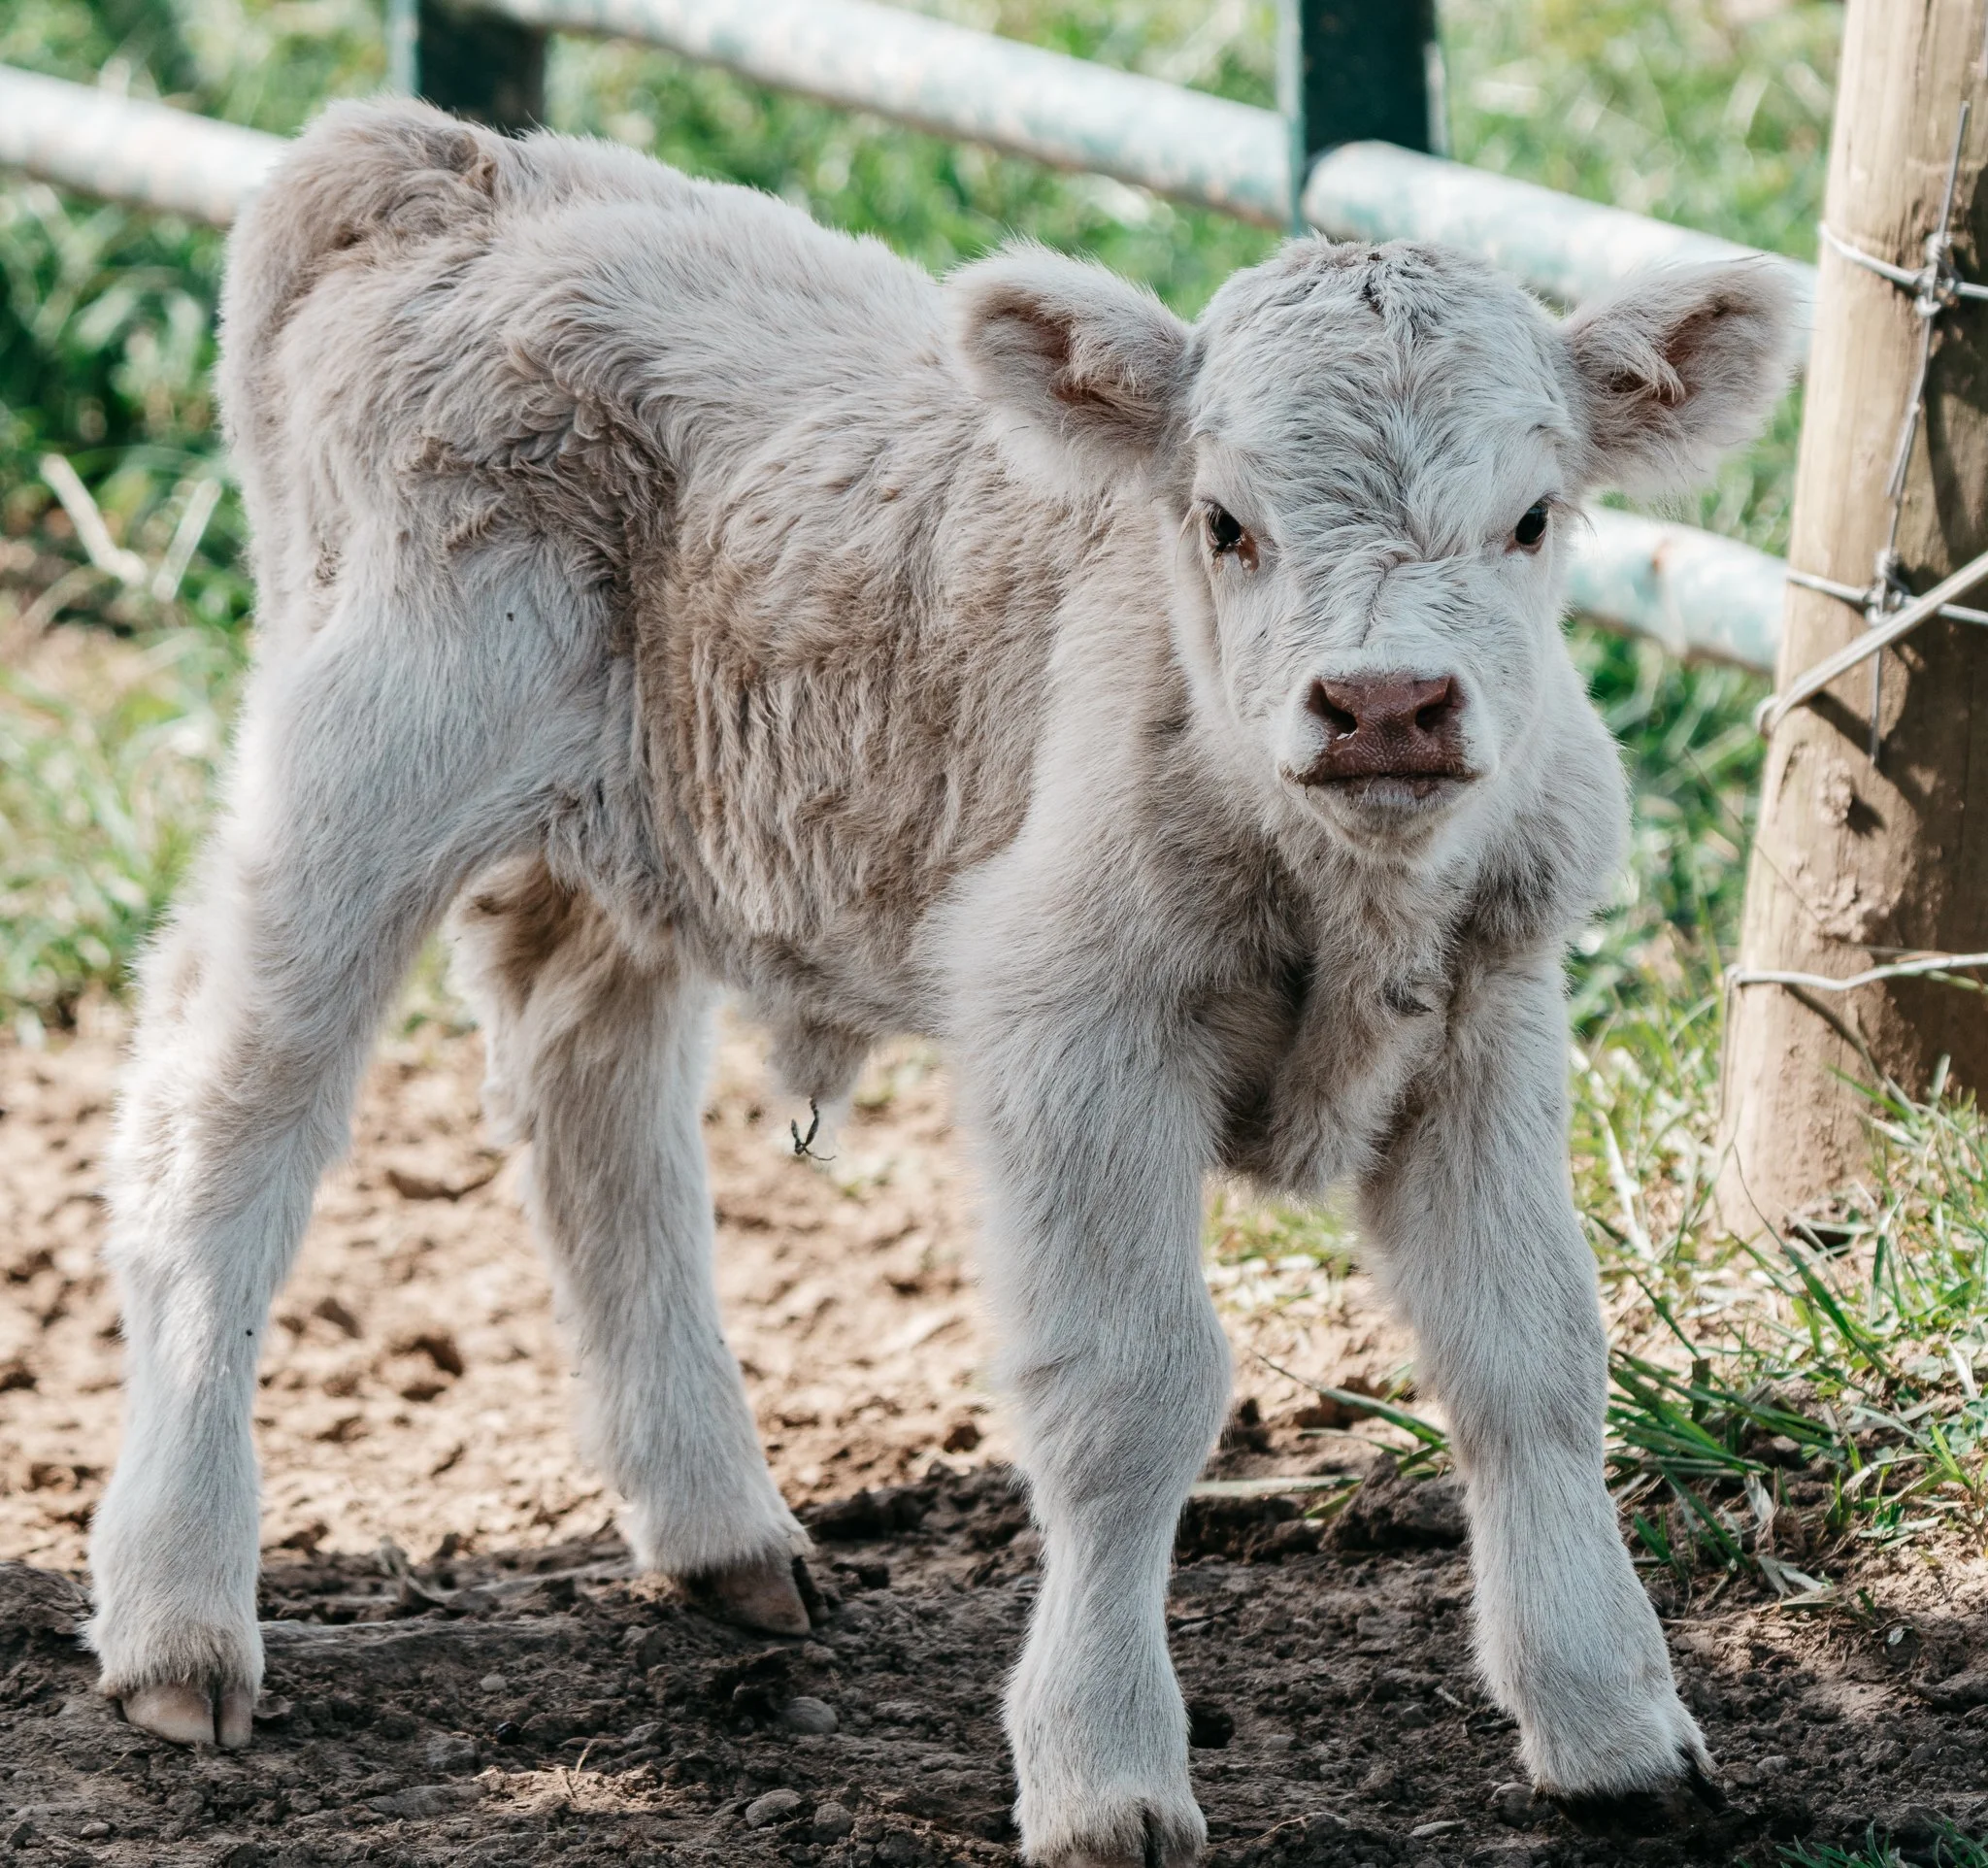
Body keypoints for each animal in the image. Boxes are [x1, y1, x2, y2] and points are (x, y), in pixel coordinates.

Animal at [83, 99, 1794, 1866]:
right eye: (1223, 520)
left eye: (1532, 518)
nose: (1386, 703)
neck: (1340, 882)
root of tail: (452, 163)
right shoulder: (1073, 1028)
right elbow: (1128, 1393)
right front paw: (1106, 1772)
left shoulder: (1485, 1016)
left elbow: (1530, 1356)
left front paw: (1613, 1724)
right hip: (361, 776)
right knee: (222, 1126)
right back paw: (177, 1622)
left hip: (638, 834)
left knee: (592, 1097)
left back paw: (721, 1535)